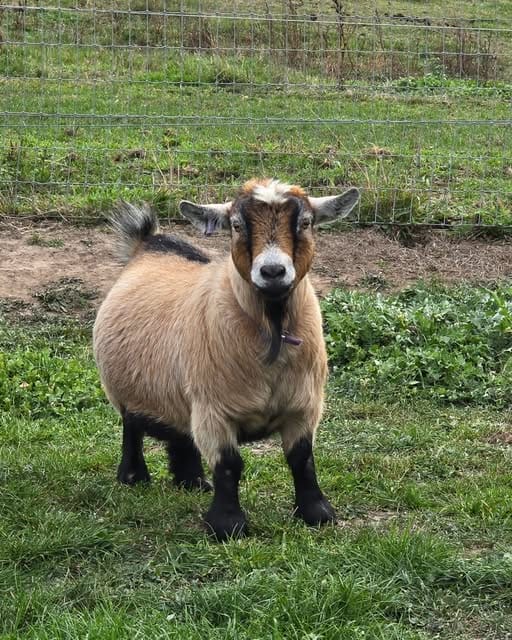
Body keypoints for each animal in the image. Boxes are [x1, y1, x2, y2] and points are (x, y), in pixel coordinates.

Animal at [93, 179, 360, 540]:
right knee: (131, 427)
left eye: (306, 222)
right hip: (126, 389)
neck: (272, 329)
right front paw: (227, 525)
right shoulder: (214, 410)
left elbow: (302, 459)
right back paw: (134, 477)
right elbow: (229, 464)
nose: (272, 271)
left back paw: (192, 482)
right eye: (236, 225)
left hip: (179, 392)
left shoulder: (304, 405)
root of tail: (148, 244)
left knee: (181, 432)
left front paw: (317, 514)